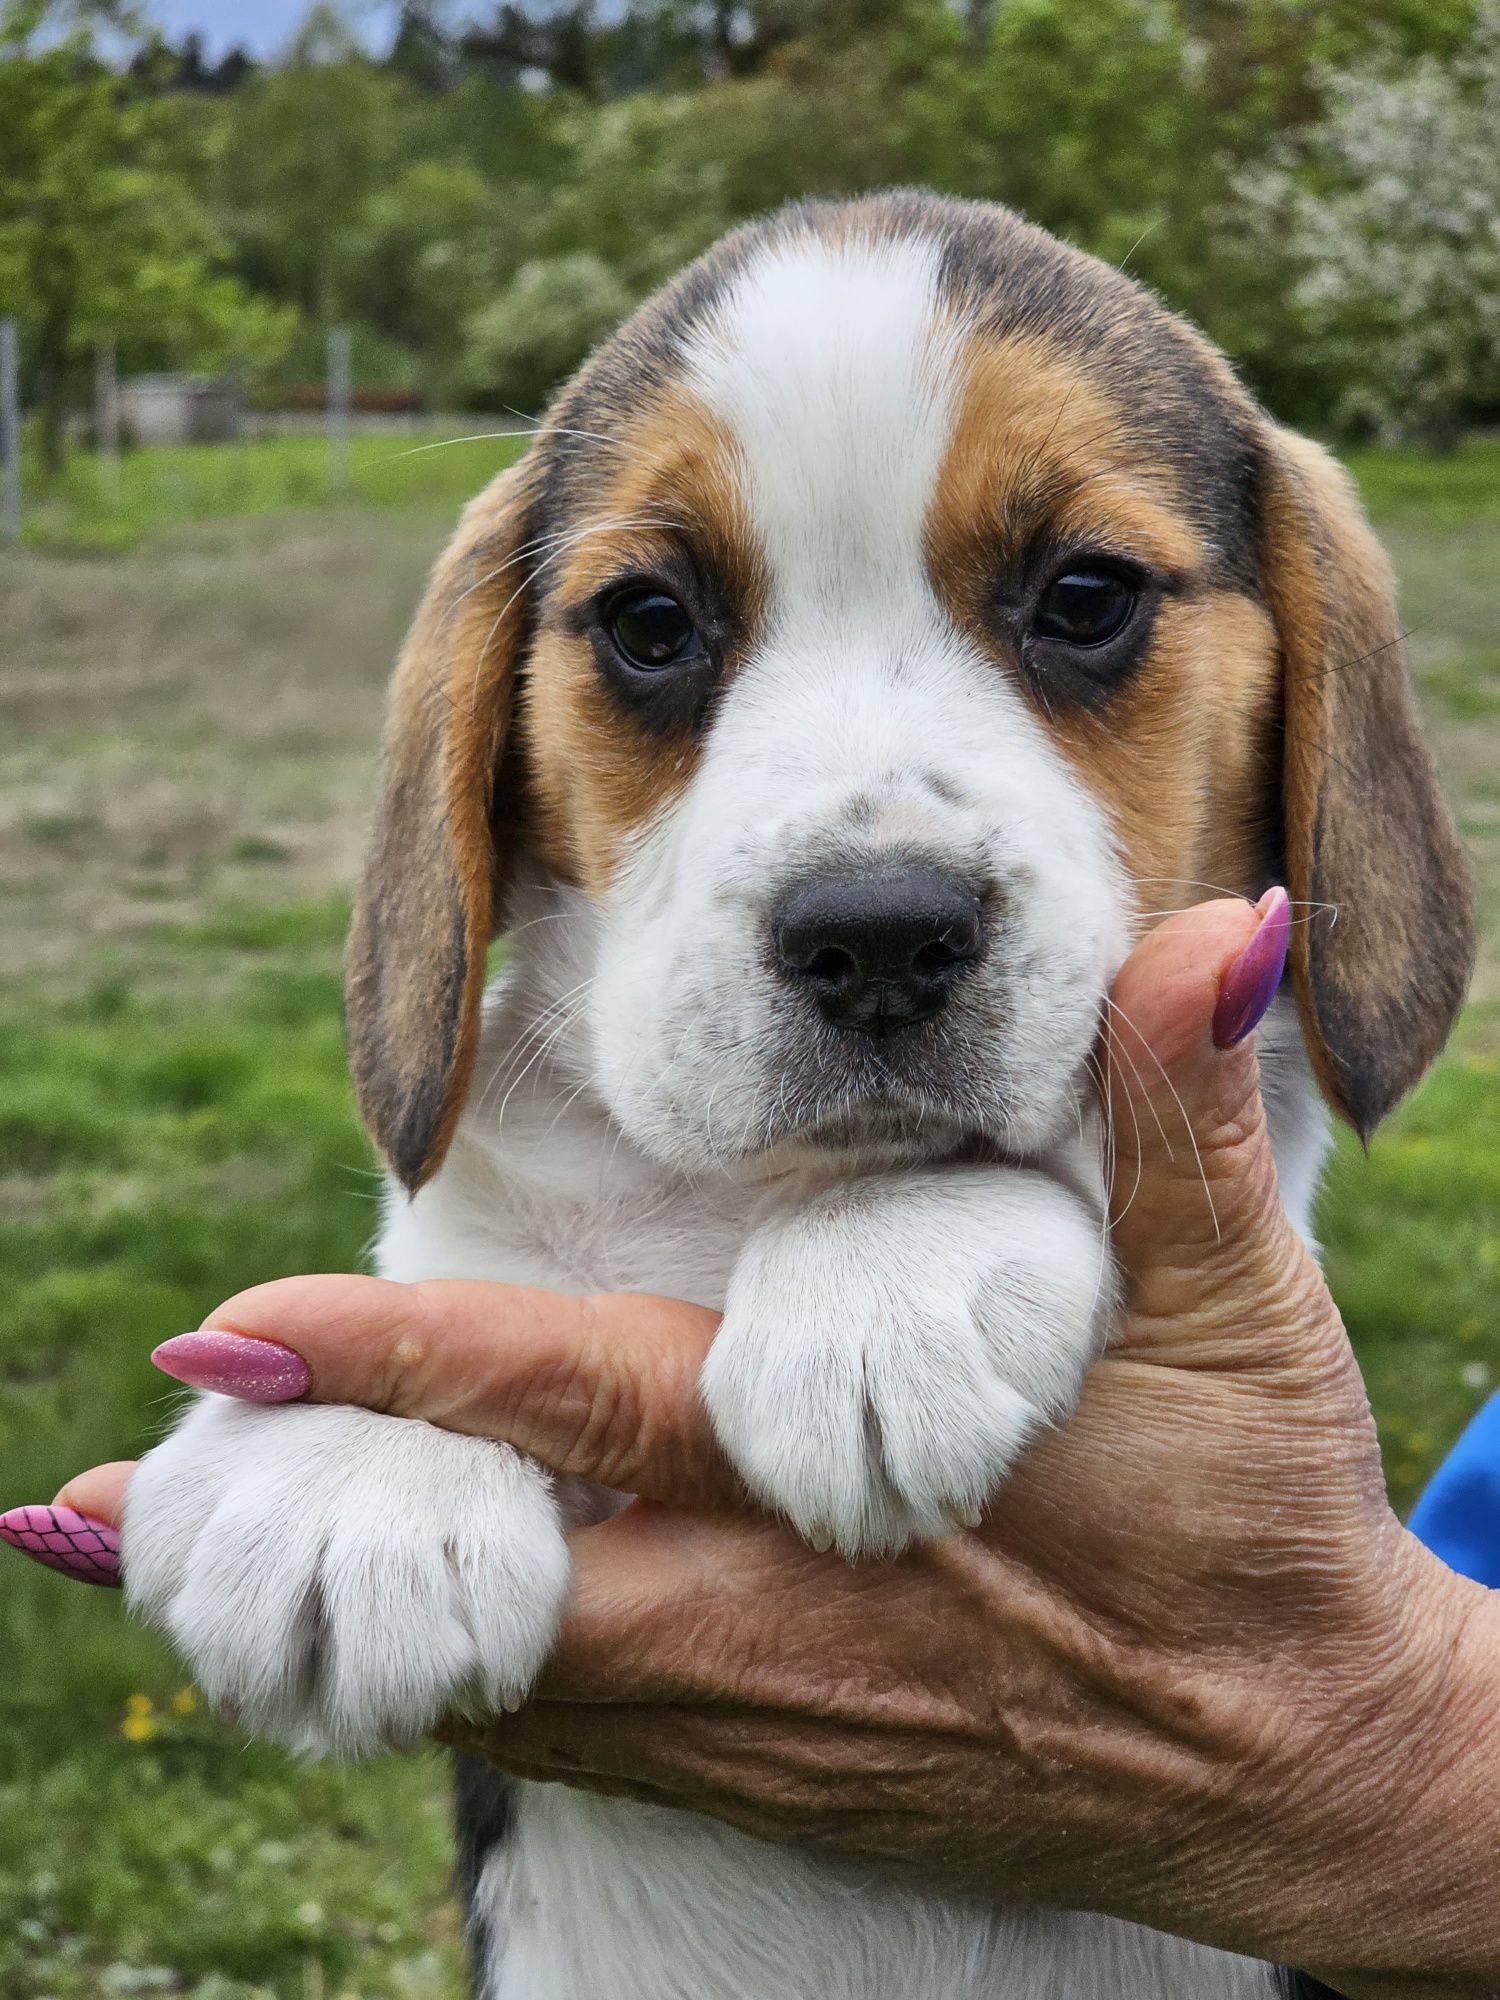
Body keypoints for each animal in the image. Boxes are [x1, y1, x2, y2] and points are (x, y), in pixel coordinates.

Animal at [123, 191, 1472, 2000]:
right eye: (649, 624)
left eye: (1088, 595)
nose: (879, 935)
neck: (750, 1196)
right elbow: (452, 1269)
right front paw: (352, 1464)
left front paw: (887, 1271)